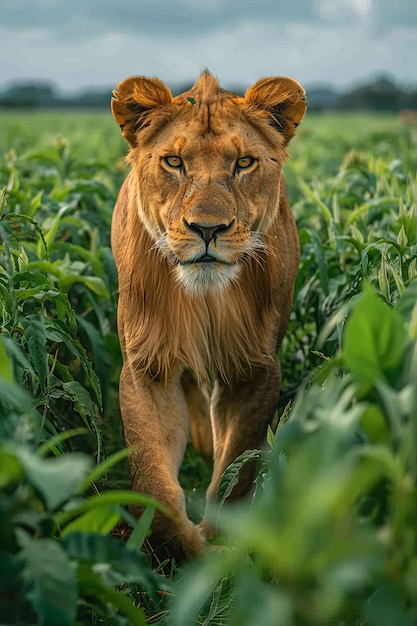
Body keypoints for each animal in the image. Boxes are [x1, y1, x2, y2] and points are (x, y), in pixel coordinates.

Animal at [110, 70, 306, 560]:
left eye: (244, 163)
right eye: (174, 162)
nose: (207, 229)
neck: (204, 298)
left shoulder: (255, 370)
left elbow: (237, 469)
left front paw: (224, 547)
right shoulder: (148, 367)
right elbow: (152, 479)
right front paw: (184, 548)